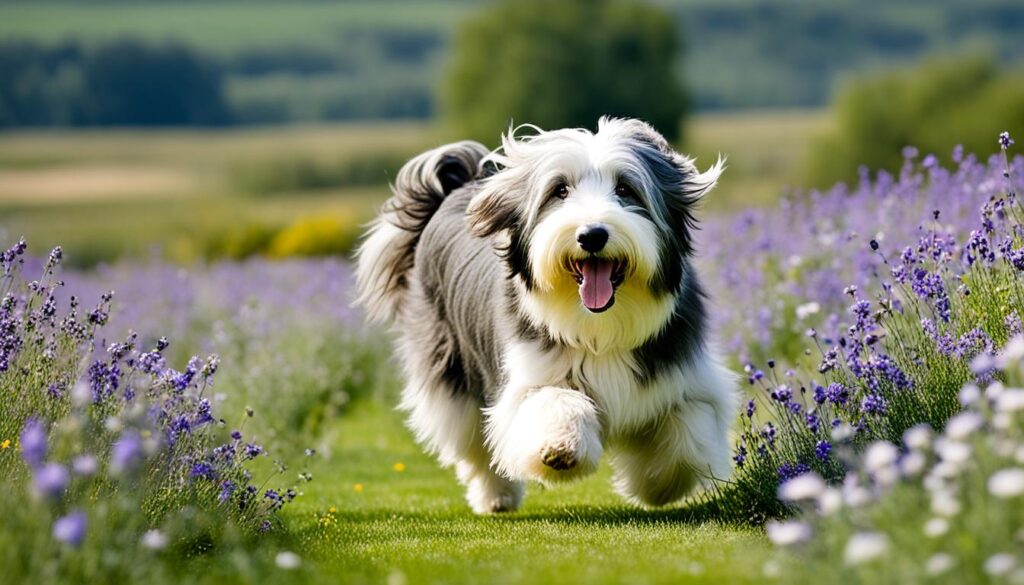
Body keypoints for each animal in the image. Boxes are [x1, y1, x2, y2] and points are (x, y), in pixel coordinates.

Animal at [354, 117, 737, 512]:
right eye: (560, 191)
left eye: (626, 189)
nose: (592, 235)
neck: (600, 327)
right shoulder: (526, 376)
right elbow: (552, 400)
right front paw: (561, 447)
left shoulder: (687, 376)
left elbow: (687, 437)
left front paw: (658, 485)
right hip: (450, 372)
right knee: (476, 446)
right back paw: (496, 497)